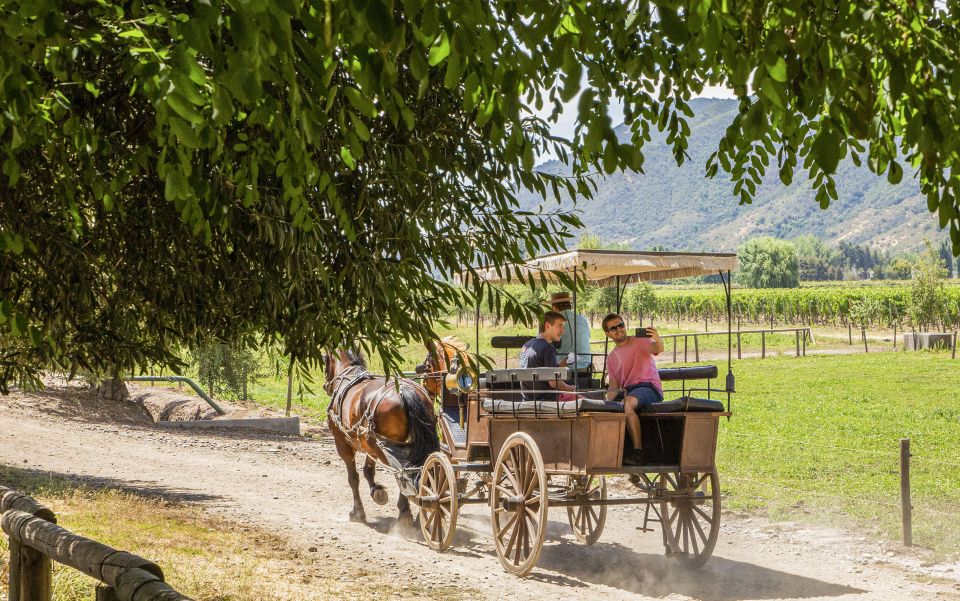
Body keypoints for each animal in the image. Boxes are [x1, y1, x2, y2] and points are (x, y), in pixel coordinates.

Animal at [324, 350, 440, 524]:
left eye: (325, 359)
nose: (326, 385)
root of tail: (405, 392)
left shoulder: (342, 442)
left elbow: (353, 478)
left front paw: (358, 512)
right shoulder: (369, 442)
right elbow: (368, 471)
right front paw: (377, 491)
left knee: (403, 475)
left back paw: (406, 513)